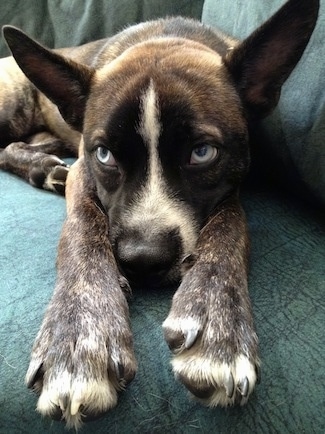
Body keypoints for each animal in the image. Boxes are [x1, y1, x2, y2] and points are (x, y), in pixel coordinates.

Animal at [0, 0, 318, 428]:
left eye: (202, 152)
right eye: (105, 154)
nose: (143, 260)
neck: (165, 36)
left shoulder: (232, 184)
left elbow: (230, 226)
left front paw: (218, 320)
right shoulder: (84, 168)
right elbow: (83, 229)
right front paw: (80, 333)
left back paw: (43, 165)